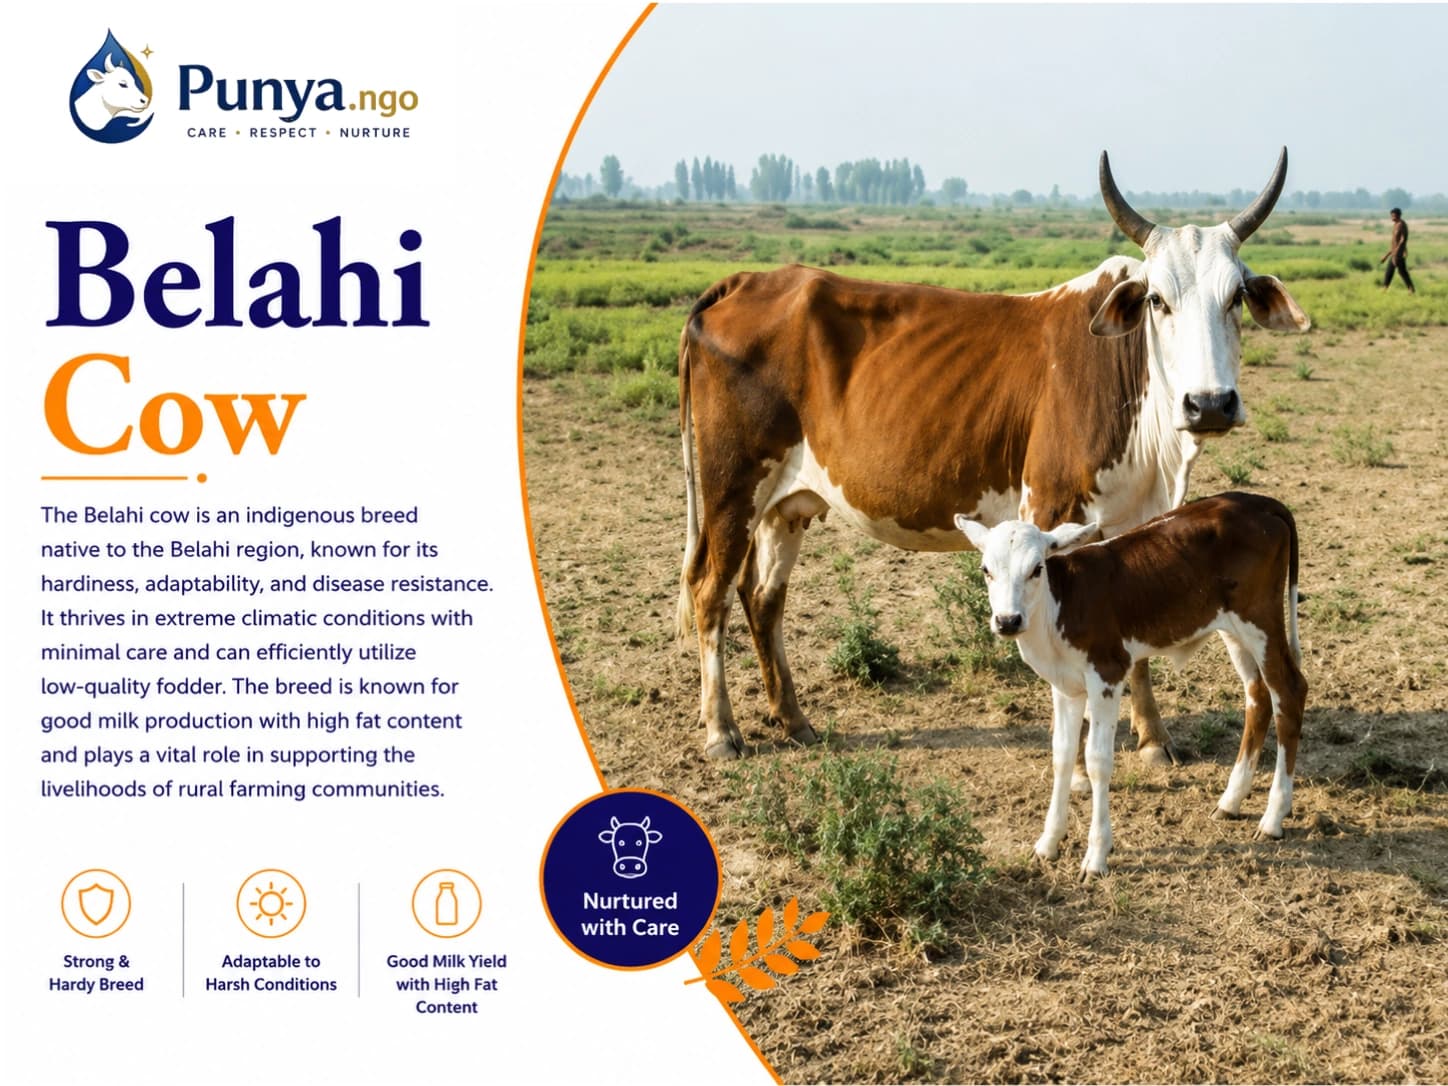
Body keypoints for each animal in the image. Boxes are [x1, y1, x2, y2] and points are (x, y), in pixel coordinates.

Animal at [677, 149, 1310, 761]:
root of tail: (746, 281)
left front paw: (1153, 737)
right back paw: (721, 731)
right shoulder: (1052, 508)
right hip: (732, 487)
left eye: (1236, 297)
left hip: (787, 503)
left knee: (763, 598)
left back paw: (793, 719)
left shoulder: (1135, 519)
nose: (1210, 403)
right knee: (709, 591)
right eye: (1157, 299)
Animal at [954, 491, 1307, 876]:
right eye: (986, 570)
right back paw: (1231, 801)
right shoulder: (1065, 686)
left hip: (1261, 620)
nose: (1008, 620)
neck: (1061, 603)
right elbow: (1062, 754)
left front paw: (1096, 856)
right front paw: (1048, 843)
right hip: (1234, 629)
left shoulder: (1107, 675)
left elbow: (1097, 760)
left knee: (1289, 691)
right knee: (1258, 696)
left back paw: (1273, 818)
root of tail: (1257, 501)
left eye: (1036, 568)